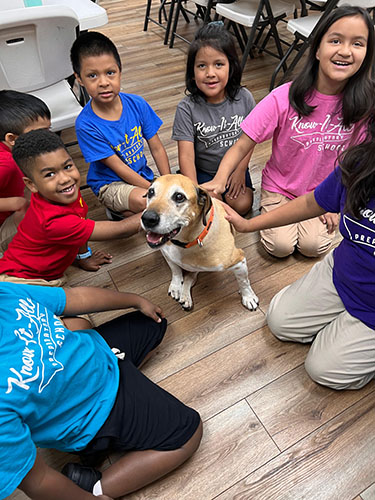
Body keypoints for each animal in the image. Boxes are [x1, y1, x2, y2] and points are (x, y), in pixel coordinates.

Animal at [141, 174, 258, 310]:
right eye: (151, 192)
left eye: (179, 197)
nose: (147, 218)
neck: (185, 242)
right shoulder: (167, 254)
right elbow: (175, 270)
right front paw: (176, 285)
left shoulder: (239, 260)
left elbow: (243, 282)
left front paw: (248, 297)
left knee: (190, 278)